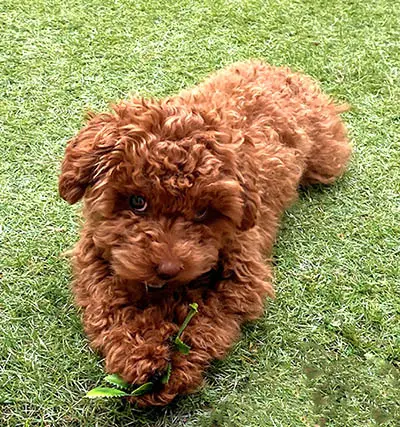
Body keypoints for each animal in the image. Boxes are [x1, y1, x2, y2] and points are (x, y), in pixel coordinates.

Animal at [58, 61, 350, 408]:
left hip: (325, 156)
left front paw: (175, 365)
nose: (169, 268)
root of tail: (276, 67)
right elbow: (111, 308)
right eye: (137, 202)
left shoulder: (241, 277)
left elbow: (207, 321)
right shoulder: (95, 263)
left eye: (201, 212)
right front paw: (142, 358)